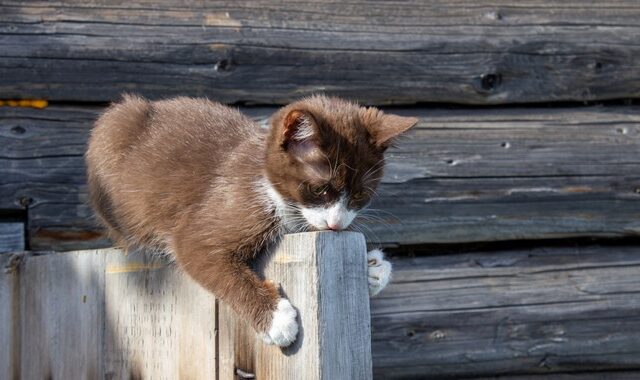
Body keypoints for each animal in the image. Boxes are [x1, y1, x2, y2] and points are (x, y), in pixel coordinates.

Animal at [85, 93, 418, 346]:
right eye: (320, 189)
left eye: (361, 195)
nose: (336, 224)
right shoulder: (228, 206)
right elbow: (200, 250)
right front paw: (276, 319)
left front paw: (373, 269)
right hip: (113, 137)